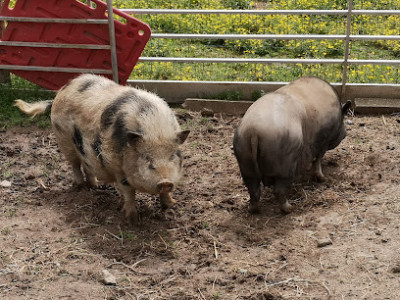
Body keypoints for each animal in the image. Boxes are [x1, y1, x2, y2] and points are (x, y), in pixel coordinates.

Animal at [14, 73, 190, 223]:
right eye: (145, 157)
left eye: (173, 156)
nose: (165, 181)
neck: (156, 131)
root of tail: (59, 93)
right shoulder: (117, 167)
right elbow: (129, 192)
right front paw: (131, 219)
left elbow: (165, 194)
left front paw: (172, 205)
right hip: (64, 141)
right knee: (75, 165)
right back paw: (80, 186)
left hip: (84, 149)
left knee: (87, 166)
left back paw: (95, 186)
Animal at [233, 76, 352, 214]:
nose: (345, 133)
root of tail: (254, 131)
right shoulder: (323, 141)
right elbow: (318, 160)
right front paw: (322, 178)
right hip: (285, 163)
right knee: (279, 190)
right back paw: (289, 208)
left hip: (244, 155)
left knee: (253, 189)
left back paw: (252, 209)